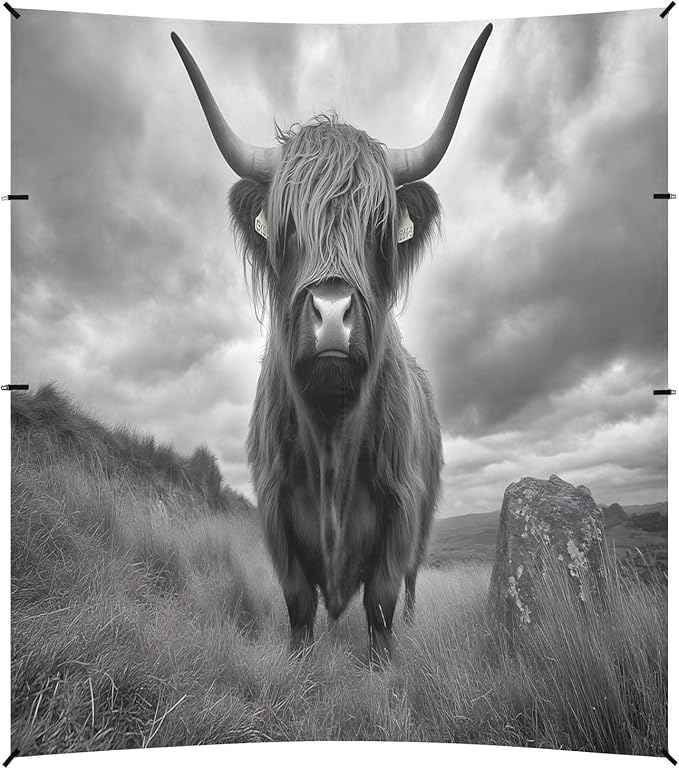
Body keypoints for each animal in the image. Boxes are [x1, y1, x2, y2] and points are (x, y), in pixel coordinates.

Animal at [172, 24, 492, 664]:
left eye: (378, 226)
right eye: (288, 225)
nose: (333, 315)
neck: (331, 434)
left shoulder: (402, 509)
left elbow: (382, 600)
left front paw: (384, 664)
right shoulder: (275, 513)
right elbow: (298, 601)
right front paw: (300, 660)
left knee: (411, 584)